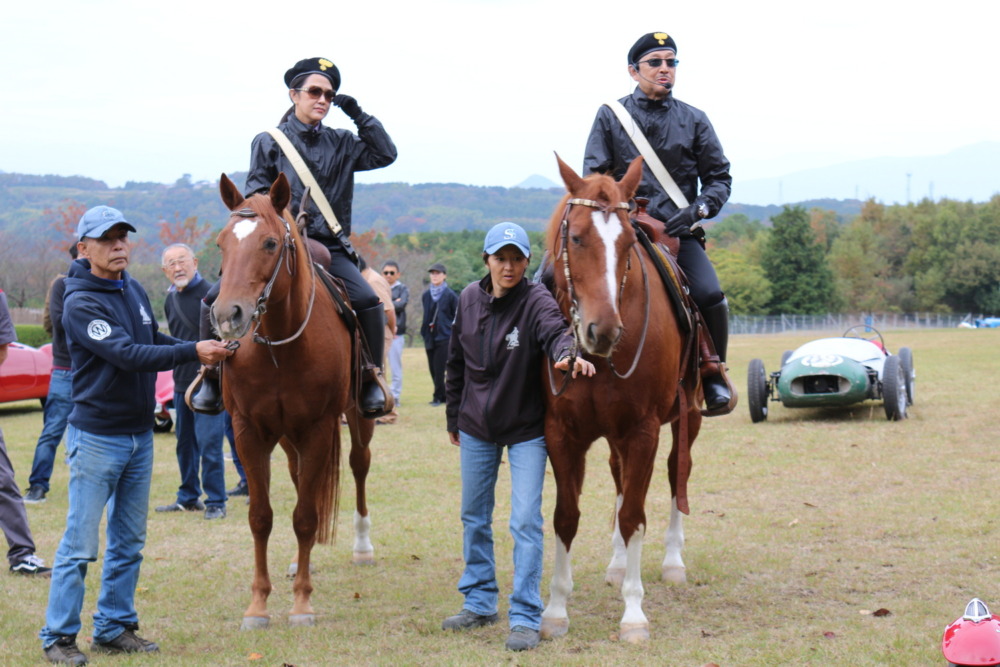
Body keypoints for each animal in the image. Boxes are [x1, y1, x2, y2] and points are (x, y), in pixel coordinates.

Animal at [211, 174, 376, 632]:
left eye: (269, 243)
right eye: (222, 243)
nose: (228, 315)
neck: (281, 343)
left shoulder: (318, 428)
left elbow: (304, 517)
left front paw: (302, 603)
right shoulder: (250, 431)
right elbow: (261, 517)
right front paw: (257, 606)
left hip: (356, 418)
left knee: (358, 465)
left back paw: (362, 545)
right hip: (287, 438)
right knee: (300, 477)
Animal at [544, 157, 700, 640]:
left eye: (629, 242)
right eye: (576, 237)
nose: (604, 331)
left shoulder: (643, 430)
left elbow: (634, 515)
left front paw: (633, 613)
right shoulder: (561, 433)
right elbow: (565, 516)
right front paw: (554, 609)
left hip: (687, 415)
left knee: (676, 472)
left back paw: (673, 560)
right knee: (618, 475)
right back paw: (615, 564)